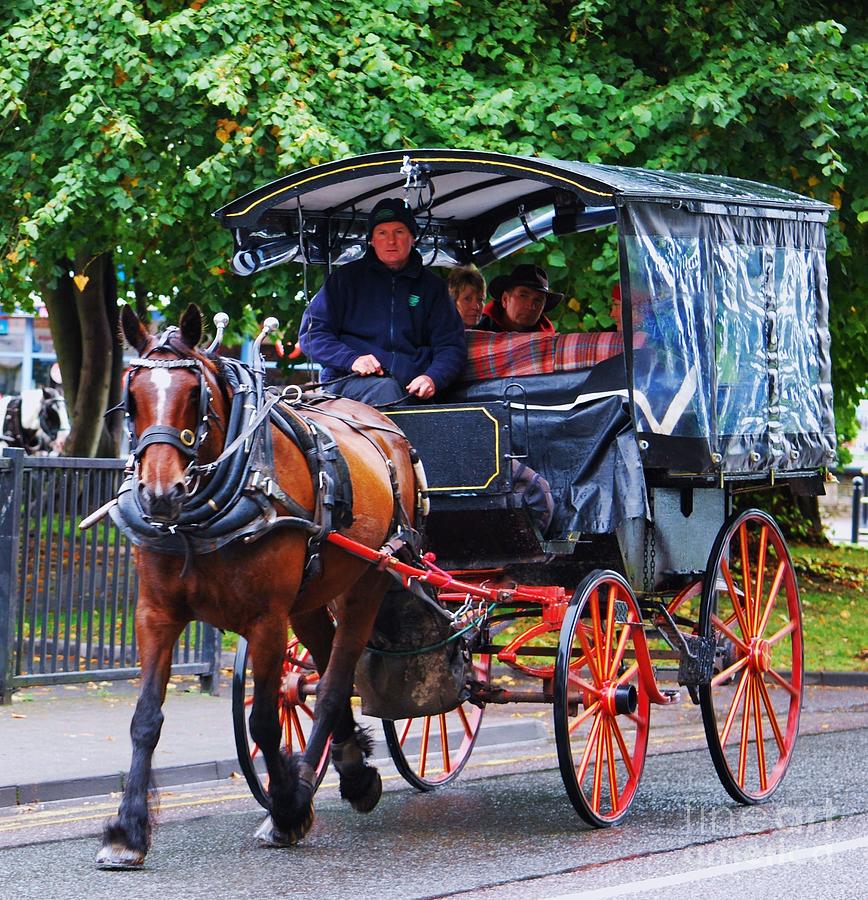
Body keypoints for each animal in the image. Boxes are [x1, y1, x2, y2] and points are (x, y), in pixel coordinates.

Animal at [95, 306, 420, 868]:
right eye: (131, 395)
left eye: (194, 394)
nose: (158, 494)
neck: (202, 518)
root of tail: (384, 425)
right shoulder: (155, 614)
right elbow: (145, 718)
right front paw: (127, 831)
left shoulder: (266, 619)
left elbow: (265, 721)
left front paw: (287, 808)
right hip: (312, 598)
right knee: (326, 663)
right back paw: (351, 770)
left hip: (368, 582)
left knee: (334, 682)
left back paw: (314, 787)